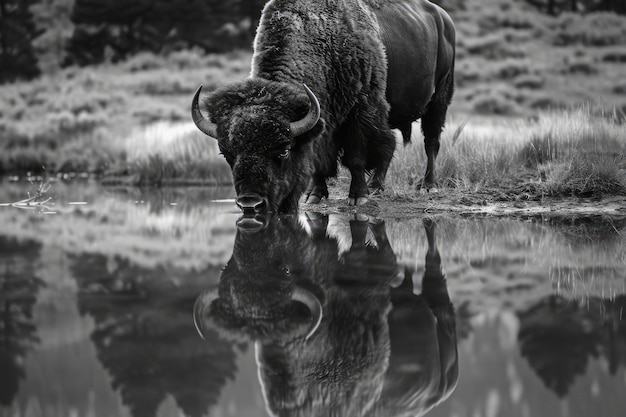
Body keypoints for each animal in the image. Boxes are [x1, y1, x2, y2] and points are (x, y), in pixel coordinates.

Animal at [190, 0, 454, 213]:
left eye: (284, 150)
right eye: (227, 153)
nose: (250, 204)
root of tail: (443, 17)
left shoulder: (360, 112)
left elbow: (356, 156)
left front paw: (358, 197)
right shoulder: (323, 123)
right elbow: (320, 162)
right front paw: (314, 195)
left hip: (439, 99)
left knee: (430, 142)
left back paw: (427, 186)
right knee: (391, 145)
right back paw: (377, 186)